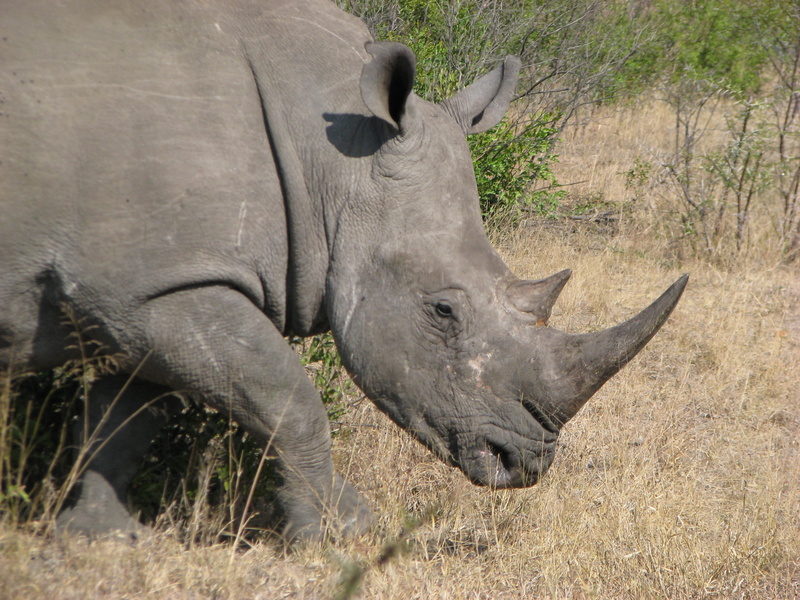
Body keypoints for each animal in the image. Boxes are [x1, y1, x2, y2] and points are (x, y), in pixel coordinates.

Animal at [0, 0, 687, 542]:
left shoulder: (146, 286)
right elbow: (287, 396)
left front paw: (98, 537)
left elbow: (122, 418)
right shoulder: (162, 285)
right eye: (442, 310)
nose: (524, 465)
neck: (330, 159)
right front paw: (343, 531)